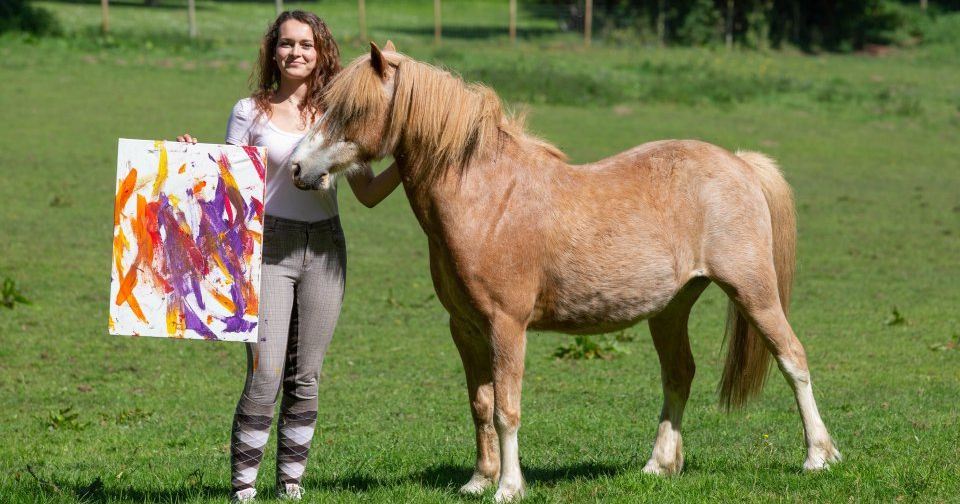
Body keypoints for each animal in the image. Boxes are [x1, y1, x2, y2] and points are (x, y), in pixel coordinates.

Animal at [289, 42, 841, 501]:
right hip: (671, 308)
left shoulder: (506, 326)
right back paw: (658, 465)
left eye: (353, 109)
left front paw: (508, 487)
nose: (296, 168)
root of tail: (740, 163)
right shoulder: (464, 328)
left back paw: (818, 456)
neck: (487, 197)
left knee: (793, 359)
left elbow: (507, 409)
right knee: (679, 374)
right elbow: (480, 405)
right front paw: (478, 480)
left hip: (753, 291)